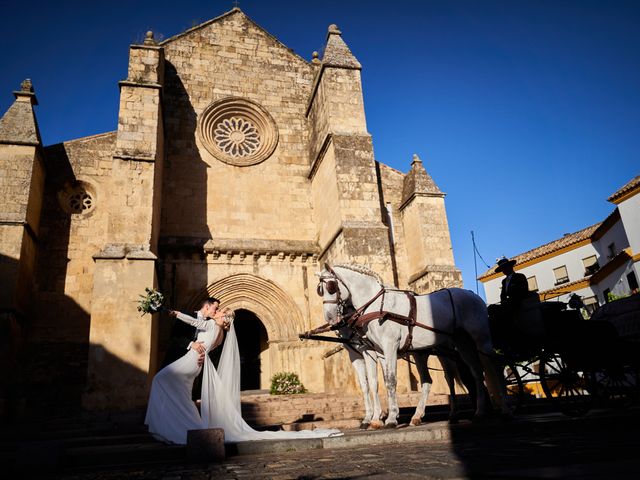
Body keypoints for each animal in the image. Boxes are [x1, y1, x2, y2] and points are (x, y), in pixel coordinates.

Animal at [320, 262, 510, 428]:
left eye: (331, 287)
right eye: (319, 291)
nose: (330, 319)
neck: (376, 305)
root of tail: (472, 294)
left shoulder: (388, 347)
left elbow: (390, 380)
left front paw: (390, 419)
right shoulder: (378, 352)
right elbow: (377, 383)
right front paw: (378, 418)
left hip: (480, 340)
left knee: (493, 367)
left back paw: (504, 409)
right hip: (459, 344)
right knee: (473, 373)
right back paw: (476, 412)